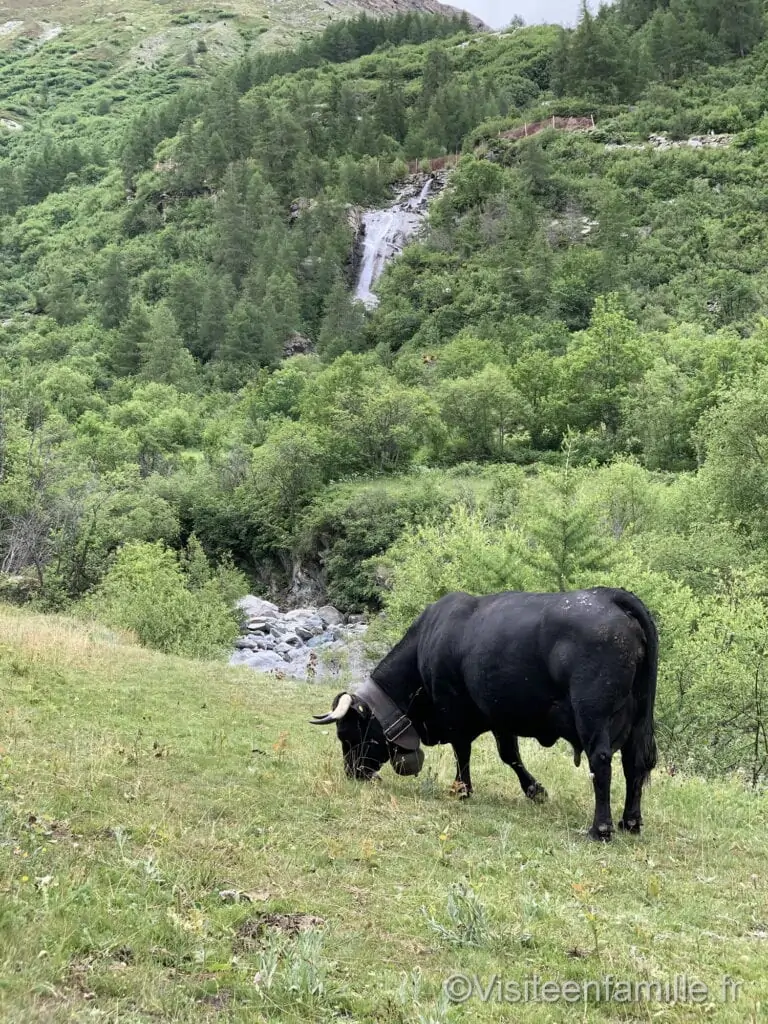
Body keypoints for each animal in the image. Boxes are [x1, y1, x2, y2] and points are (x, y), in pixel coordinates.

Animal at [309, 585, 659, 839]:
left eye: (347, 734)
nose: (352, 774)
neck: (426, 644)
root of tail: (610, 595)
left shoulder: (453, 712)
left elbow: (462, 752)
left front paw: (461, 789)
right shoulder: (499, 714)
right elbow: (510, 756)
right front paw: (535, 790)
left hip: (592, 716)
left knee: (601, 762)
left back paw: (601, 828)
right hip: (638, 720)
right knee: (634, 765)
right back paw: (630, 821)